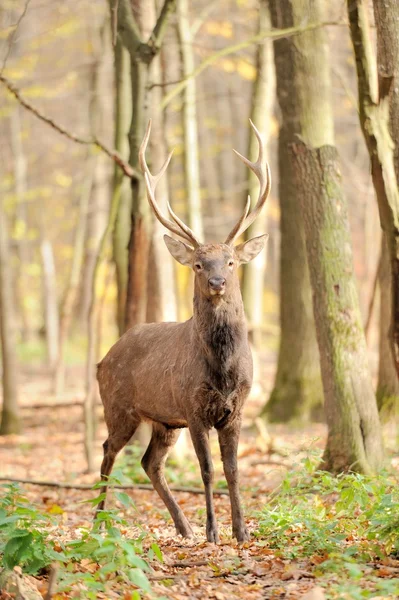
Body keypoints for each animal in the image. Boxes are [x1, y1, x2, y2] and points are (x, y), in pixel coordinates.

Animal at [96, 119, 272, 540]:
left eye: (231, 261)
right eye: (197, 263)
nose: (217, 282)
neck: (223, 370)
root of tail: (101, 360)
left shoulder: (237, 408)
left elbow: (234, 471)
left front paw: (241, 531)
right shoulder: (192, 407)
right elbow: (207, 471)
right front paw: (213, 532)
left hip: (163, 421)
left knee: (149, 462)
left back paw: (183, 527)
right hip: (119, 406)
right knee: (108, 451)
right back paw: (98, 520)